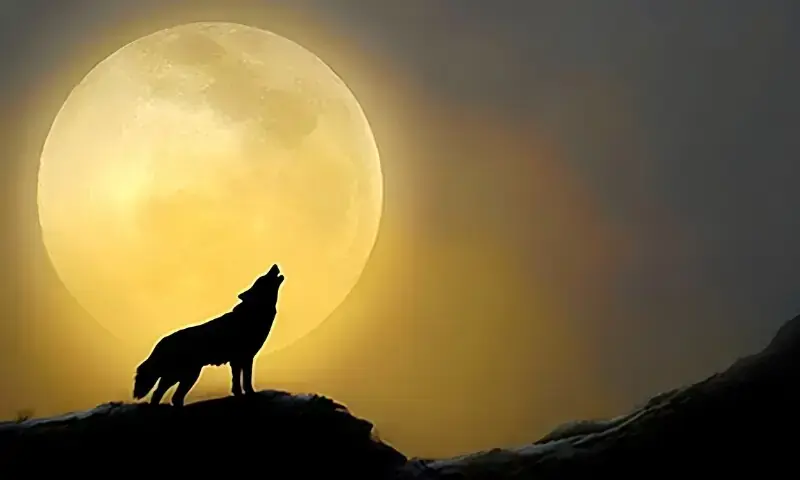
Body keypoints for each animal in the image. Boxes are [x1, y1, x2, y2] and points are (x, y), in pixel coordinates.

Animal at [132, 264, 285, 406]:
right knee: (162, 395)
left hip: (186, 376)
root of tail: (161, 343)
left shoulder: (239, 360)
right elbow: (246, 381)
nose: (275, 265)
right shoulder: (243, 359)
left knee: (169, 397)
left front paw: (240, 395)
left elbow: (238, 382)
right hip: (183, 376)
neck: (252, 314)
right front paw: (250, 395)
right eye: (263, 278)